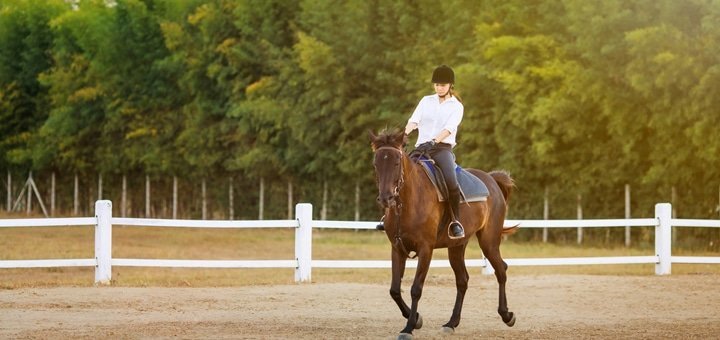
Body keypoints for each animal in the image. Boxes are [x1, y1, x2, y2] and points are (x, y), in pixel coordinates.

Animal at [372, 129, 516, 338]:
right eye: (376, 163)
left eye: (396, 162)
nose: (386, 198)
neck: (410, 200)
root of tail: (491, 179)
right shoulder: (397, 249)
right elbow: (395, 290)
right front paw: (416, 320)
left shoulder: (426, 249)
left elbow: (416, 289)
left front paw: (409, 327)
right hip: (456, 247)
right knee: (462, 280)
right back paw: (451, 322)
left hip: (489, 242)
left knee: (501, 270)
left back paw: (507, 315)